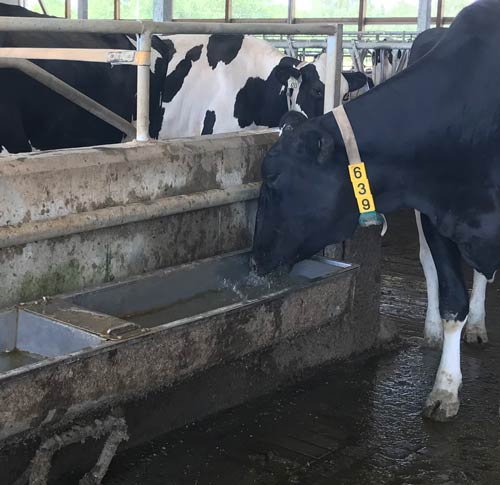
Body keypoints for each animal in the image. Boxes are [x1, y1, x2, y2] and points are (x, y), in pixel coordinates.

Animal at [252, 0, 500, 420]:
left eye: (272, 177)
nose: (254, 259)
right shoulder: (434, 212)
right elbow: (452, 297)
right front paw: (445, 389)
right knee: (432, 266)